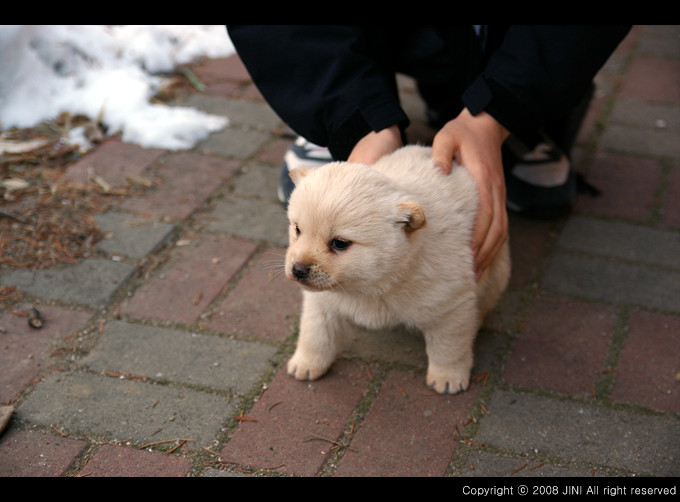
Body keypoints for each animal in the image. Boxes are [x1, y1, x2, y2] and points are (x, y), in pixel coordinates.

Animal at [282, 143, 510, 394]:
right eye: (297, 229)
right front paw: (306, 363)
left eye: (340, 243)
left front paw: (448, 376)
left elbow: (449, 346)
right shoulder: (323, 302)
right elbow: (315, 332)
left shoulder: (450, 304)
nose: (298, 269)